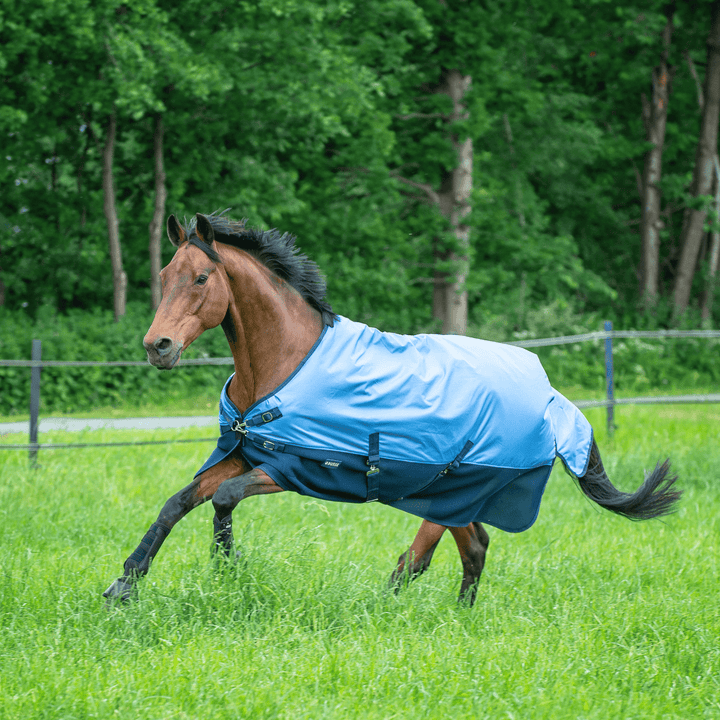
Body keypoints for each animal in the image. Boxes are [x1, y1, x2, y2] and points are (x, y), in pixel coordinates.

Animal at [103, 211, 681, 607]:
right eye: (164, 275)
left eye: (201, 278)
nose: (158, 347)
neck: (284, 363)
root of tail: (553, 398)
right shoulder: (245, 453)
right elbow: (177, 503)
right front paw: (125, 586)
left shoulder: (295, 469)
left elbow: (222, 500)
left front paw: (227, 569)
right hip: (451, 494)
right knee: (473, 549)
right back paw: (453, 615)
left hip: (455, 490)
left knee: (426, 556)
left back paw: (385, 607)